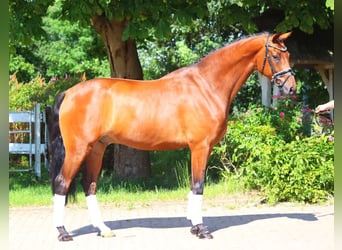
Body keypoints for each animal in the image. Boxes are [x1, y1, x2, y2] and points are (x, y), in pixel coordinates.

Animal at [48, 31, 296, 240]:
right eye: (275, 55)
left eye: (288, 54)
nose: (291, 88)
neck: (206, 86)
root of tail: (69, 92)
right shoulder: (200, 147)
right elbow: (198, 185)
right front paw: (202, 230)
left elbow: (193, 185)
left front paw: (194, 226)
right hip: (78, 149)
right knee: (62, 183)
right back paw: (63, 232)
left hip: (97, 149)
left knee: (89, 185)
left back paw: (104, 229)